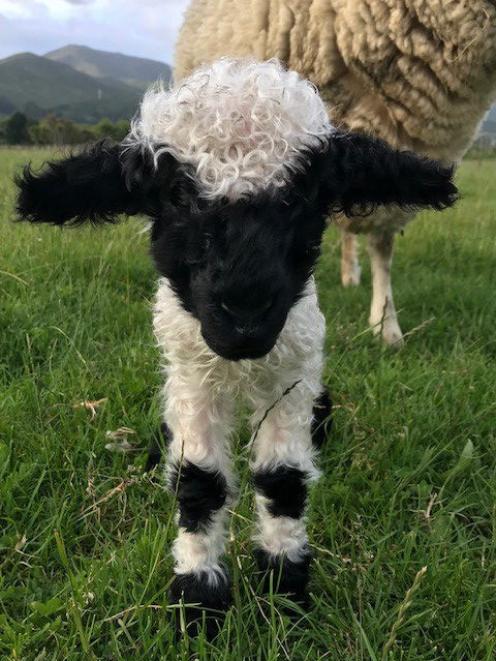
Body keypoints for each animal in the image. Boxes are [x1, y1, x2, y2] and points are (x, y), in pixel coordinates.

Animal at [15, 59, 458, 636]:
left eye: (300, 196)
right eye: (177, 196)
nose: (245, 311)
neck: (243, 362)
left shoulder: (291, 374)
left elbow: (283, 480)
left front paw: (285, 591)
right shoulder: (192, 376)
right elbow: (199, 483)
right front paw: (198, 602)